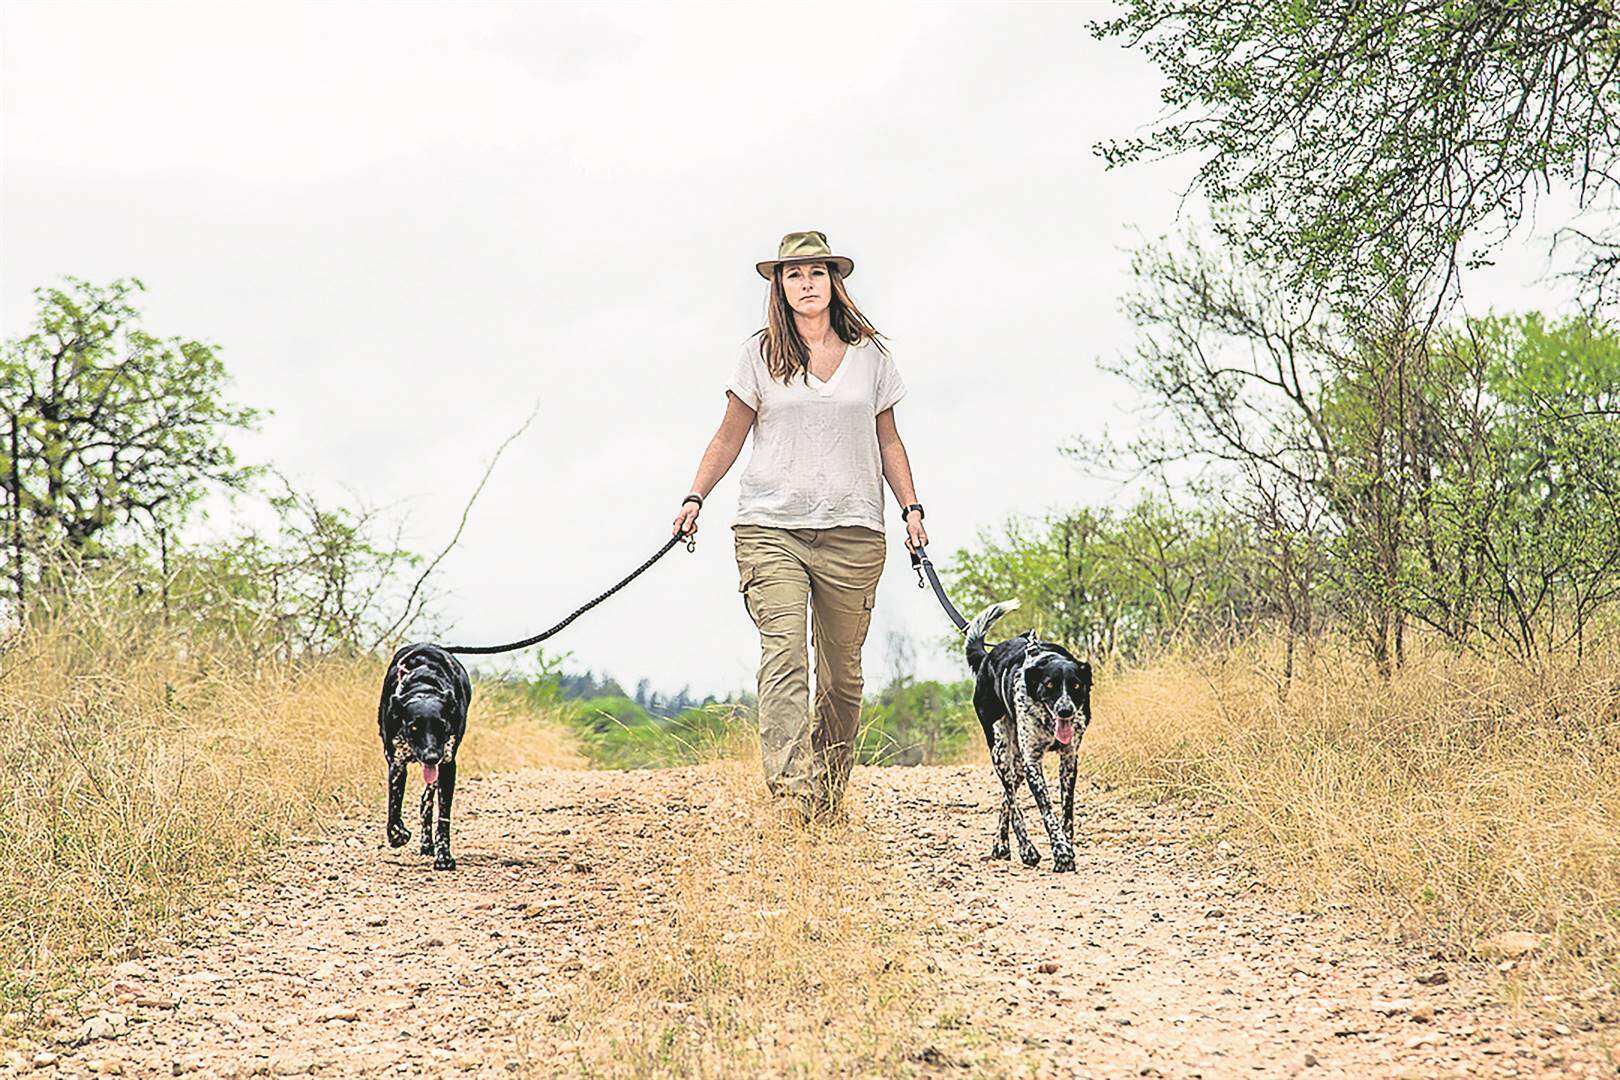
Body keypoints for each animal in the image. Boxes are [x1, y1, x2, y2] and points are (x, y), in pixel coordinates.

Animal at [370, 641, 466, 867]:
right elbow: (394, 806)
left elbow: (443, 815)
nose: (431, 757)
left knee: (426, 801)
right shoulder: (396, 763)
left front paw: (444, 855)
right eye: (414, 727)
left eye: (441, 726)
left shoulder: (447, 765)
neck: (424, 684)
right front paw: (398, 835)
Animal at [965, 605, 1095, 874]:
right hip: (1001, 751)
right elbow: (1047, 811)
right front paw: (1061, 853)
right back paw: (1025, 849)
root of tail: (987, 657)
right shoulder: (1033, 763)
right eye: (1050, 685)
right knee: (1013, 801)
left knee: (1008, 796)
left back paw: (1001, 844)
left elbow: (1066, 811)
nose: (1065, 711)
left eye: (1076, 685)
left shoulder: (1069, 759)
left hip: (1018, 764)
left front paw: (1068, 846)